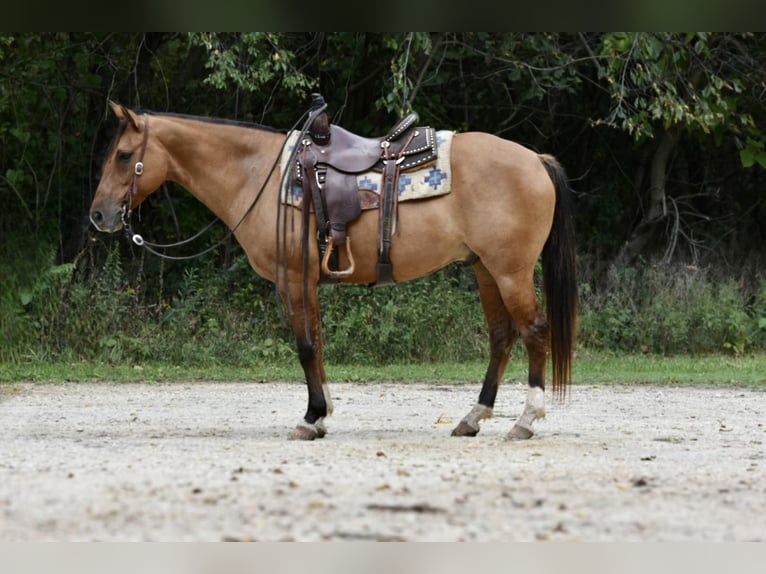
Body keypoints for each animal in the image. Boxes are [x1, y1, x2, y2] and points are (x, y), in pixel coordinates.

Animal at [90, 98, 580, 440]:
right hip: (485, 270)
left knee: (534, 331)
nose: (99, 215)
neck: (258, 176)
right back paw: (472, 418)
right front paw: (323, 414)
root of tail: (535, 159)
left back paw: (526, 420)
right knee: (501, 337)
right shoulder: (307, 282)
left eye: (124, 155)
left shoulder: (293, 279)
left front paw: (309, 419)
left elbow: (306, 346)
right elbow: (320, 345)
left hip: (510, 270)